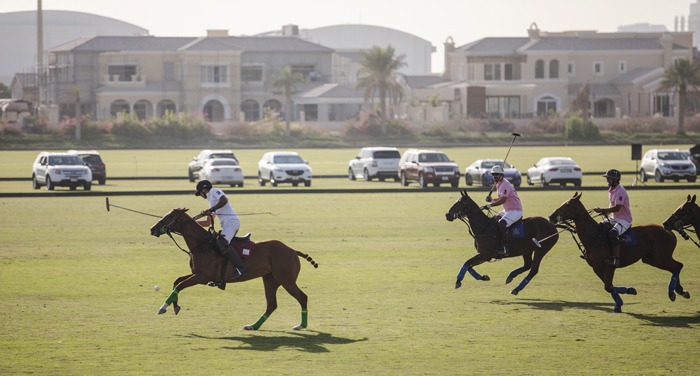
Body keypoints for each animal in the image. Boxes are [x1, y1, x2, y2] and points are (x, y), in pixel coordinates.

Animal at [152, 207, 322, 330]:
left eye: (170, 217)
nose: (152, 230)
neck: (202, 244)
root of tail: (292, 250)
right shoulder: (199, 275)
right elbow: (177, 281)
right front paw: (174, 306)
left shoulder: (202, 276)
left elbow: (180, 285)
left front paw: (162, 308)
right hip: (270, 279)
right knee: (271, 304)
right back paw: (253, 326)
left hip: (286, 280)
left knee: (302, 297)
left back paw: (301, 325)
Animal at [548, 192, 688, 312]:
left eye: (567, 205)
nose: (551, 216)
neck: (594, 236)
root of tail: (668, 230)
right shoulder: (596, 268)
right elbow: (609, 286)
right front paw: (621, 301)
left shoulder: (609, 266)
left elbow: (608, 286)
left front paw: (629, 292)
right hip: (652, 259)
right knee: (676, 267)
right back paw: (680, 290)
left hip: (661, 257)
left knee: (677, 266)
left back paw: (672, 292)